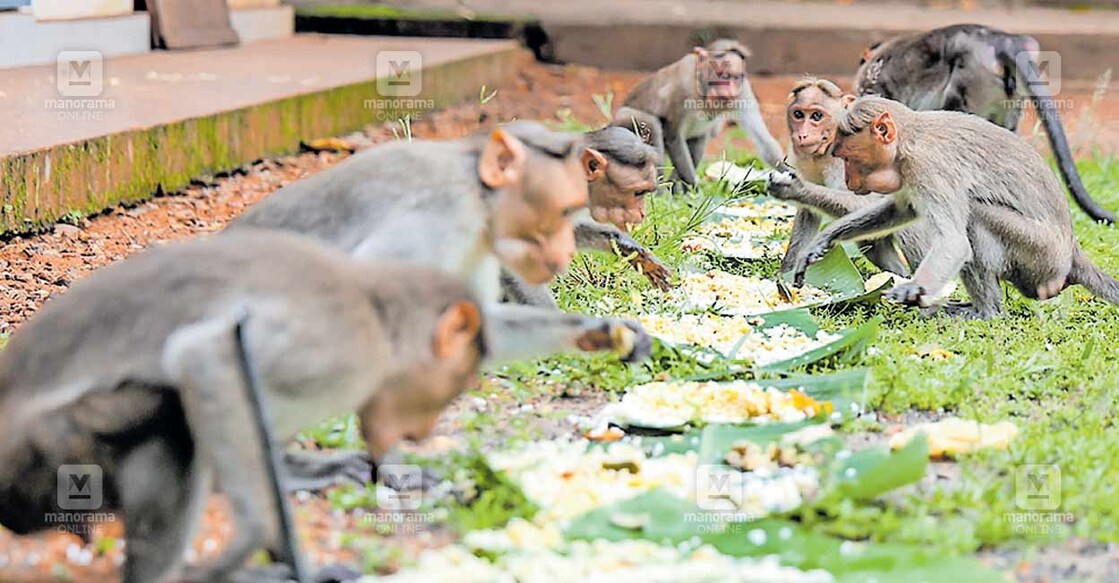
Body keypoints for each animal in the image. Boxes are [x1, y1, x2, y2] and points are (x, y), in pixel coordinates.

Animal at [0, 231, 499, 581]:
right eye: (449, 389)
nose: (423, 431)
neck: (377, 315)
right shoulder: (339, 345)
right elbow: (205, 358)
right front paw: (261, 545)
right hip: (44, 457)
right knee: (175, 414)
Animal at [774, 95, 1119, 317]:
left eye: (847, 158)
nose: (849, 180)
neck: (910, 139)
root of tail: (1071, 252)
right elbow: (900, 209)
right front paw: (825, 239)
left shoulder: (928, 165)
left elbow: (953, 242)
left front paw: (913, 288)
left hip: (1042, 259)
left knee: (976, 218)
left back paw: (987, 312)